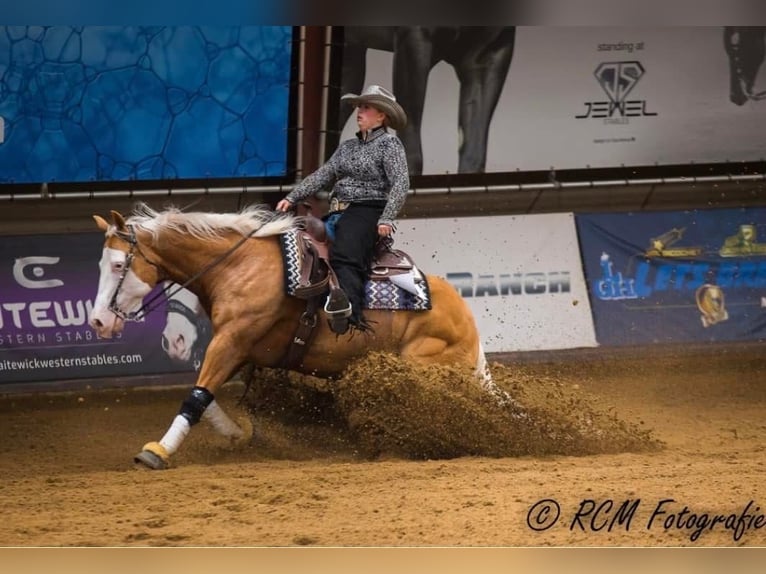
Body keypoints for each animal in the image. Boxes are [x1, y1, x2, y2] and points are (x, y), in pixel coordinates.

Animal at [88, 203, 501, 469]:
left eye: (119, 265)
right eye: (101, 263)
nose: (97, 322)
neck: (240, 265)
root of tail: (465, 318)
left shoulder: (232, 340)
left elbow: (197, 395)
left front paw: (158, 451)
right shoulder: (242, 347)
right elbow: (207, 395)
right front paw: (235, 433)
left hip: (427, 369)